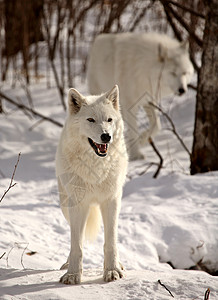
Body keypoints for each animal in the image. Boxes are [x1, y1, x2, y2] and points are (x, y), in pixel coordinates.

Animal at [55, 85, 129, 286]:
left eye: (109, 120)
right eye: (91, 120)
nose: (106, 136)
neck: (96, 168)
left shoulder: (111, 201)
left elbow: (110, 242)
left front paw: (112, 270)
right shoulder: (78, 205)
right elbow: (76, 245)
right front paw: (73, 274)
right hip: (65, 205)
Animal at [87, 31, 193, 161]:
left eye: (184, 73)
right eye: (172, 73)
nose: (182, 90)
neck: (145, 68)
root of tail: (99, 38)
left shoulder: (149, 100)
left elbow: (156, 125)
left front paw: (143, 139)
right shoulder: (129, 106)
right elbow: (133, 131)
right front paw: (136, 155)